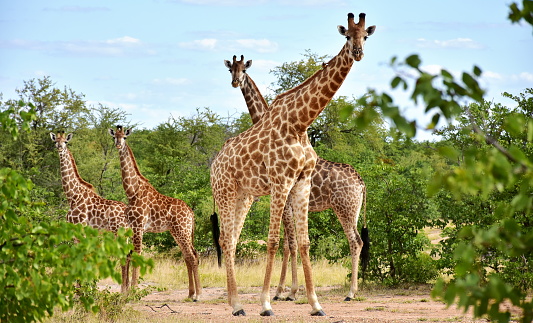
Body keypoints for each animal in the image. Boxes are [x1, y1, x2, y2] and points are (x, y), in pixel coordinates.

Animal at [50, 131, 131, 294]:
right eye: (55, 141)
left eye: (65, 142)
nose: (60, 147)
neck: (72, 195)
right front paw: (83, 288)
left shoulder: (80, 227)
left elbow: (80, 257)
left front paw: (80, 291)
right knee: (127, 256)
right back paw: (127, 290)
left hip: (118, 232)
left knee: (123, 256)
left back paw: (123, 292)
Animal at [108, 126, 202, 302]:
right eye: (114, 137)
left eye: (124, 137)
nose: (118, 144)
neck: (132, 191)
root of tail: (191, 213)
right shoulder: (133, 227)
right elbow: (130, 255)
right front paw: (128, 292)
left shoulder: (138, 227)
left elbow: (137, 255)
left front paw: (133, 292)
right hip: (177, 232)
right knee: (188, 255)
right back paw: (190, 293)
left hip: (182, 230)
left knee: (192, 256)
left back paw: (198, 295)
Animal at [210, 12, 376, 316]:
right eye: (347, 35)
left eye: (366, 36)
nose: (357, 52)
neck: (299, 123)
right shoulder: (281, 183)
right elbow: (277, 242)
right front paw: (269, 301)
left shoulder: (301, 183)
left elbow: (303, 242)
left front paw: (314, 303)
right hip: (226, 190)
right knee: (227, 239)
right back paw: (237, 304)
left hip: (248, 196)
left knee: (231, 239)